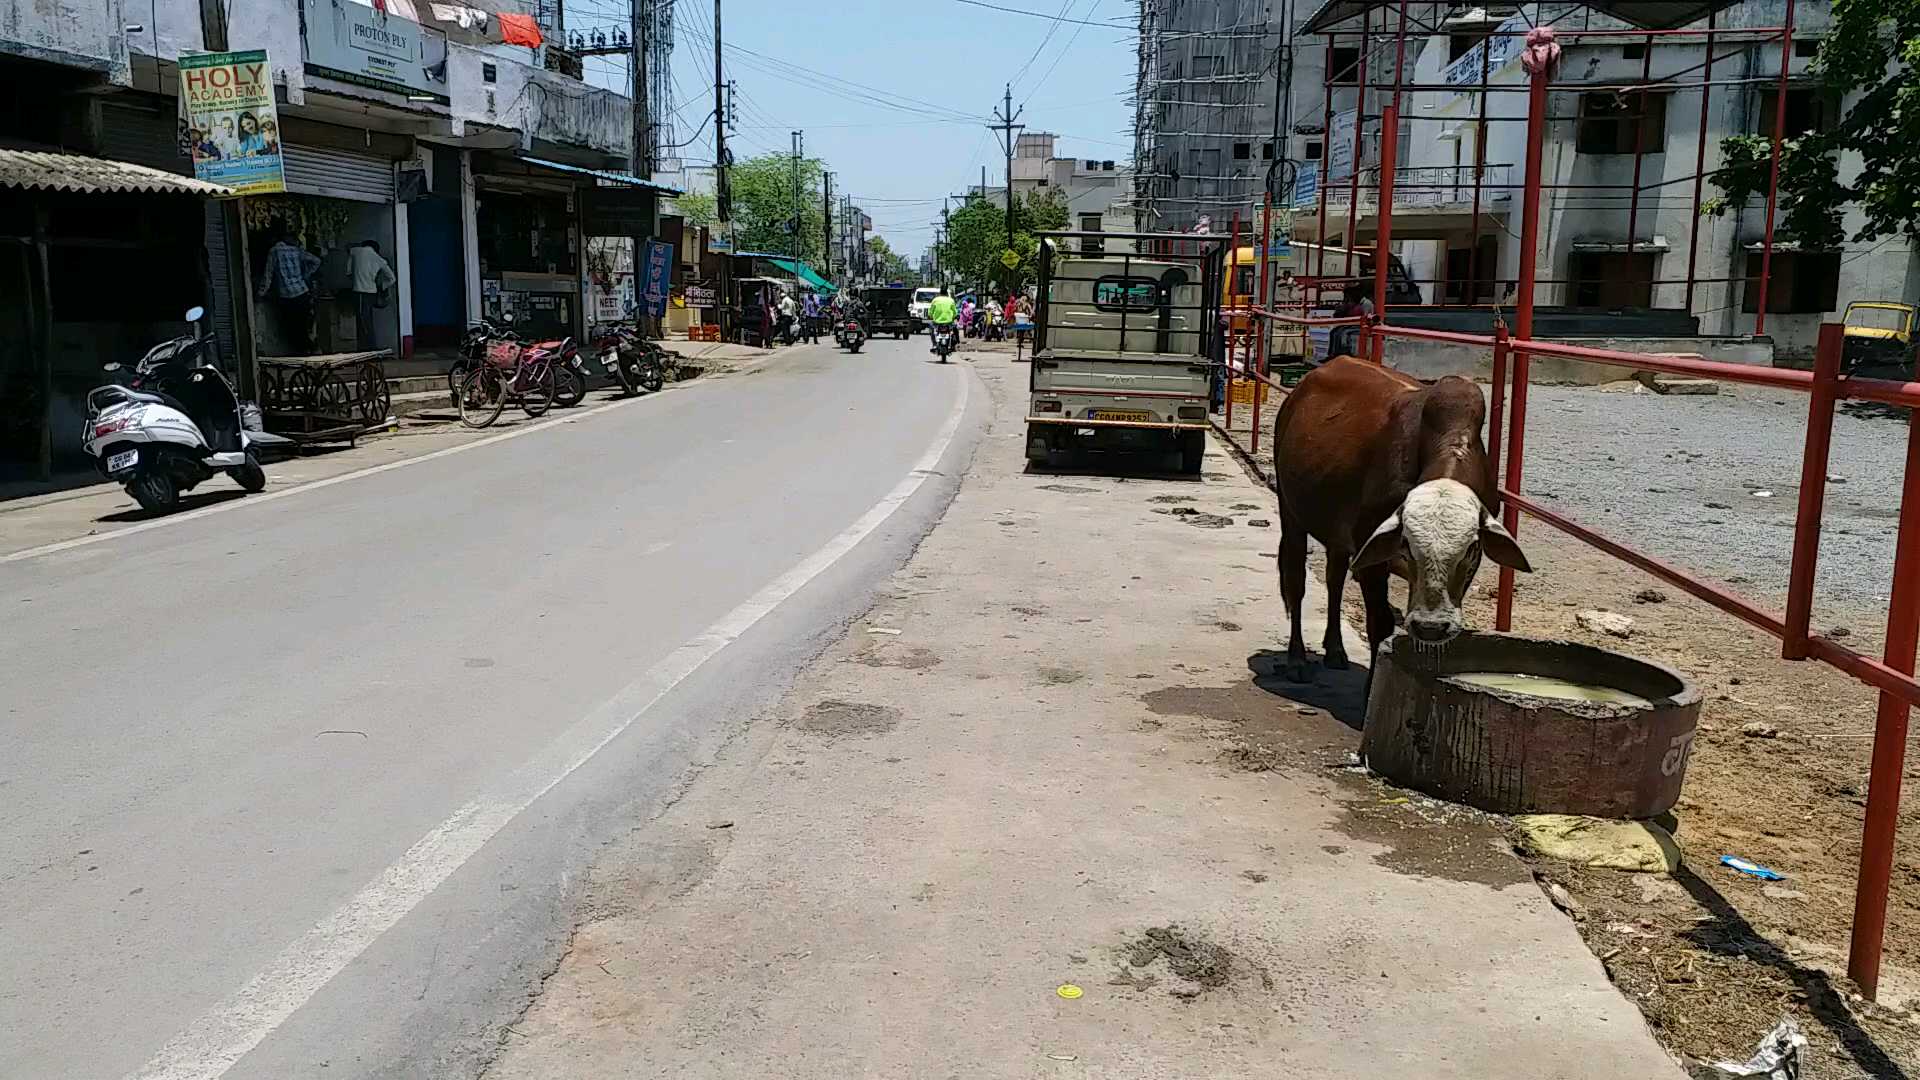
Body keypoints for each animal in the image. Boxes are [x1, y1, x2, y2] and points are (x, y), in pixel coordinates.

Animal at [1267, 357, 1536, 676]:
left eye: (1470, 549)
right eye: (1406, 543)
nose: (1431, 626)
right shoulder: (1372, 555)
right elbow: (1380, 625)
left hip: (1337, 536)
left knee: (1335, 580)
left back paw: (1335, 650)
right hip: (1291, 513)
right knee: (1296, 580)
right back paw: (1296, 659)